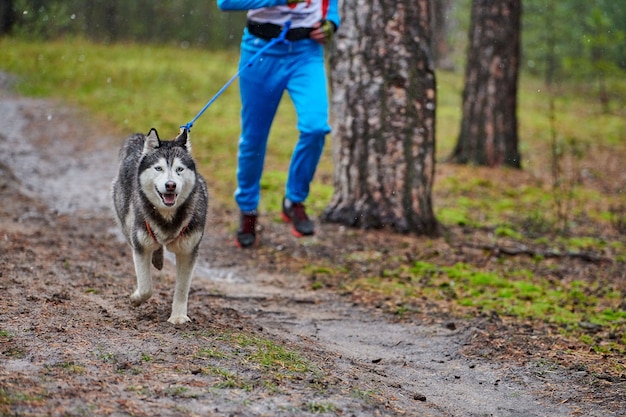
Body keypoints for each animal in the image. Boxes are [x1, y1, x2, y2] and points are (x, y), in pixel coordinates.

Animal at [111, 128, 207, 324]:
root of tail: (139, 139)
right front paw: (136, 299)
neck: (168, 218)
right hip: (126, 222)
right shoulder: (140, 246)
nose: (170, 185)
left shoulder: (188, 252)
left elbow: (182, 289)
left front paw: (178, 316)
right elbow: (146, 287)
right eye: (158, 168)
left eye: (179, 169)